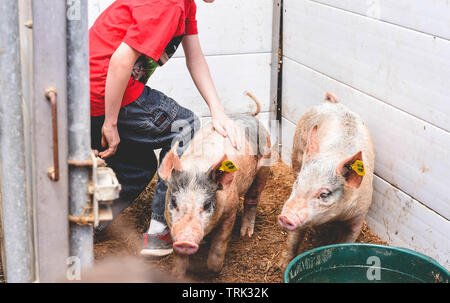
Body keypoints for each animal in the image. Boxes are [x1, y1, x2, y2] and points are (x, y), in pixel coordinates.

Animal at [158, 96, 270, 280]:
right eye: (174, 202)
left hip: (265, 165)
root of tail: (249, 115)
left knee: (252, 198)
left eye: (207, 205)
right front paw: (178, 274)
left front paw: (211, 270)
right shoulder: (171, 221)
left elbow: (220, 244)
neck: (196, 167)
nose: (186, 240)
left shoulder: (230, 210)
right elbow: (179, 258)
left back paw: (246, 234)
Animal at [276, 92, 374, 270]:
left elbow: (348, 240)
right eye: (298, 183)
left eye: (324, 194)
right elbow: (294, 237)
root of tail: (331, 102)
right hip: (297, 149)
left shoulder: (359, 214)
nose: (285, 217)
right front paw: (281, 266)